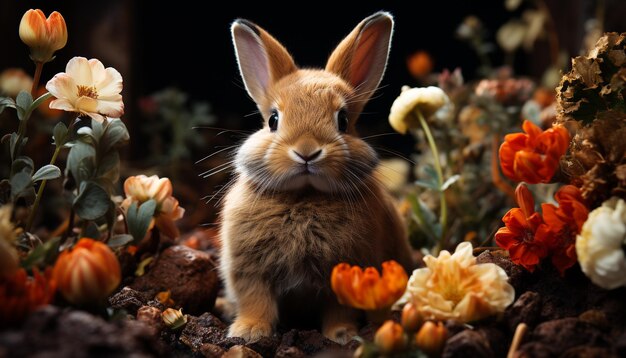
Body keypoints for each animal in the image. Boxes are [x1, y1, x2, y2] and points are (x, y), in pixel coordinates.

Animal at [219, 11, 414, 344]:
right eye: (273, 120)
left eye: (343, 120)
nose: (307, 152)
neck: (304, 195)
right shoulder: (249, 270)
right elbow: (256, 301)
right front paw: (249, 332)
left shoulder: (346, 272)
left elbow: (339, 309)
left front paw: (342, 335)